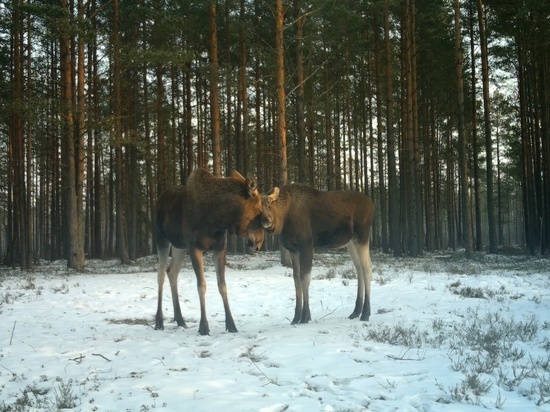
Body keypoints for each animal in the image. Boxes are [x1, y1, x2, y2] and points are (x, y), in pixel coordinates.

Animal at [155, 167, 266, 334]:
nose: (259, 243)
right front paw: (204, 327)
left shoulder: (219, 247)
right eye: (259, 210)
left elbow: (222, 285)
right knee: (160, 274)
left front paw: (231, 324)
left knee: (172, 271)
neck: (217, 217)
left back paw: (180, 319)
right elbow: (201, 285)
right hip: (162, 239)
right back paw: (159, 321)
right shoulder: (195, 247)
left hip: (180, 246)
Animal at [262, 186, 376, 326]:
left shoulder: (306, 245)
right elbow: (296, 279)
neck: (284, 218)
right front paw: (296, 318)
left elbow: (305, 278)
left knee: (367, 268)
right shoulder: (293, 249)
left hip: (362, 236)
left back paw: (365, 313)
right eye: (257, 207)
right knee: (359, 268)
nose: (266, 221)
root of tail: (372, 205)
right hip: (350, 242)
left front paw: (305, 316)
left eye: (268, 204)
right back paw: (356, 311)